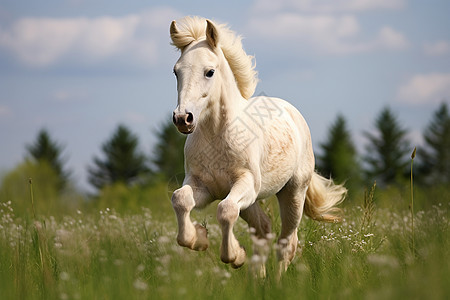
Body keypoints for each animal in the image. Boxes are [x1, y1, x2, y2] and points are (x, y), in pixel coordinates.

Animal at [169, 16, 348, 274]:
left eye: (210, 72)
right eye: (176, 71)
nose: (183, 118)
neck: (217, 135)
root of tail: (294, 114)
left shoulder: (246, 184)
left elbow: (225, 211)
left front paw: (233, 255)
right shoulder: (203, 186)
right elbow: (181, 199)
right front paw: (200, 239)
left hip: (293, 193)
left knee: (286, 243)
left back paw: (277, 280)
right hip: (252, 203)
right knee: (264, 228)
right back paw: (258, 277)